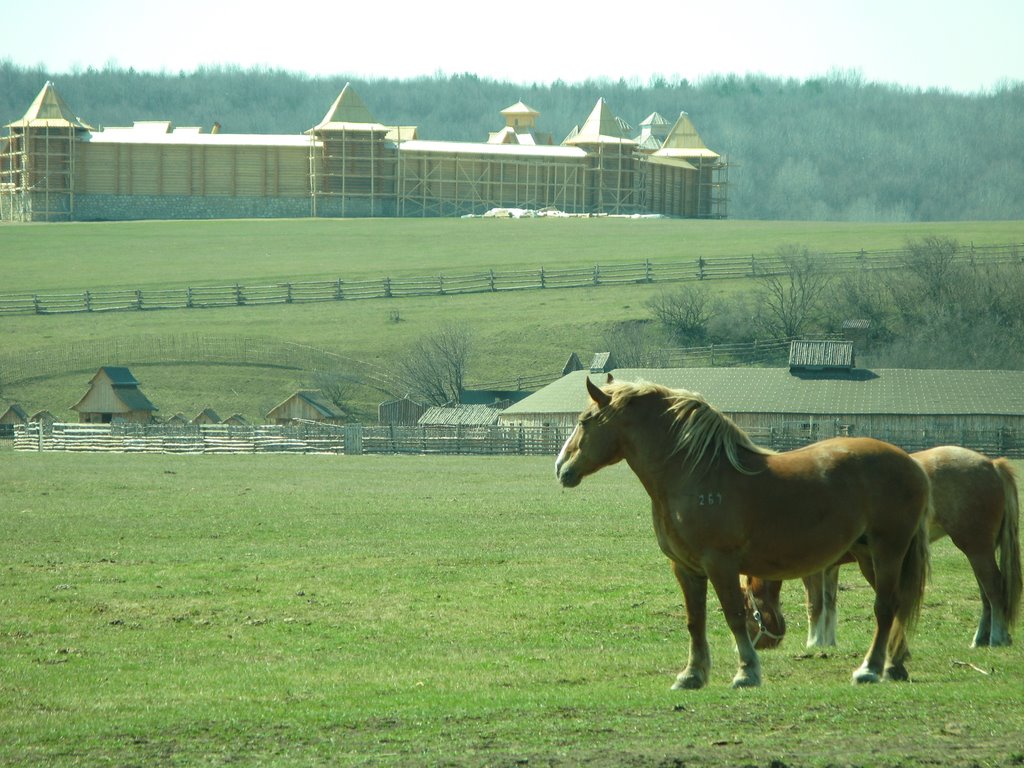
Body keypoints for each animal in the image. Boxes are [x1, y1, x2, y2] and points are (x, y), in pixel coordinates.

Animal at [557, 378, 933, 692]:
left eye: (584, 421)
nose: (561, 468)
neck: (695, 473)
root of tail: (912, 464)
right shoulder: (687, 569)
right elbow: (695, 620)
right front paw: (692, 675)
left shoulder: (720, 563)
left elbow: (734, 616)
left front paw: (746, 671)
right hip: (871, 557)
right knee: (896, 606)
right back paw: (894, 665)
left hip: (888, 551)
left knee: (885, 607)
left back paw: (870, 668)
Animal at [745, 448, 1024, 651]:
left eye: (749, 610)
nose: (755, 647)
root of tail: (992, 464)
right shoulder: (830, 568)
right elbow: (829, 603)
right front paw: (828, 642)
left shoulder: (814, 570)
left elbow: (815, 605)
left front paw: (813, 643)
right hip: (978, 549)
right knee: (986, 594)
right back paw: (981, 639)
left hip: (976, 548)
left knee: (993, 588)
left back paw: (997, 637)